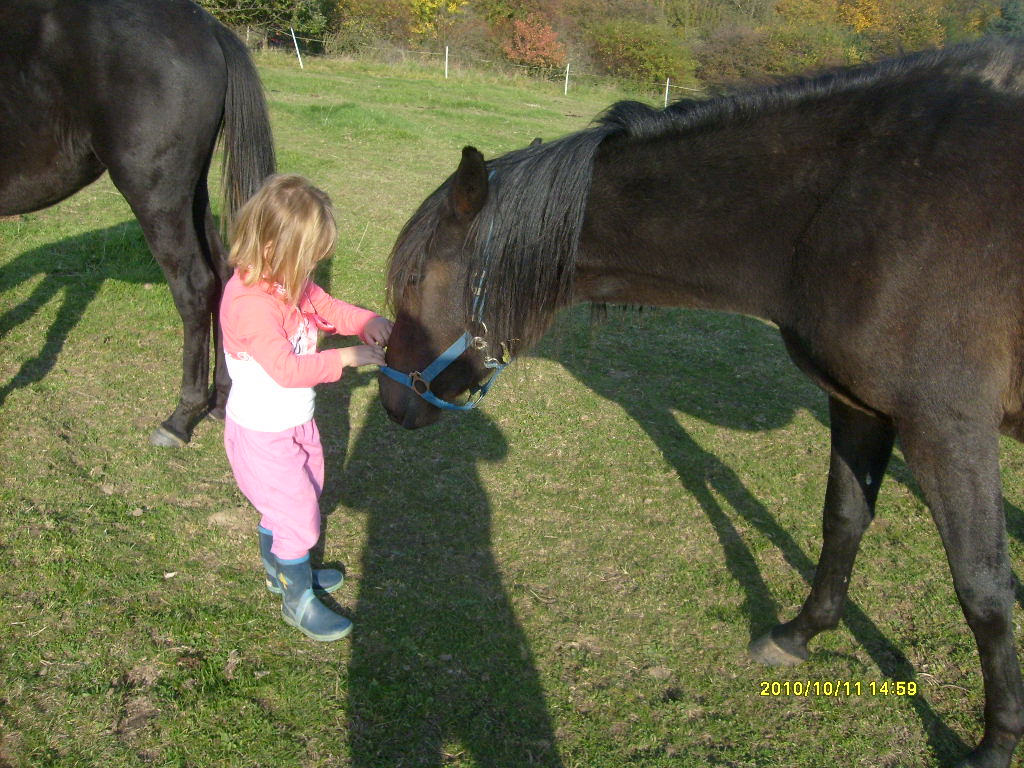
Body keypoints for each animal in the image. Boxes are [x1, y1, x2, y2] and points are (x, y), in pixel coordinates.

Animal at [0, 0, 276, 444]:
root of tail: (206, 26)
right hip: (189, 194)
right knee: (223, 275)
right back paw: (219, 400)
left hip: (154, 195)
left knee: (195, 288)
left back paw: (181, 417)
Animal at [380, 40, 1024, 768]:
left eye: (414, 277)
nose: (390, 399)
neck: (856, 204)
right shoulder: (858, 407)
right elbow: (843, 521)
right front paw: (799, 634)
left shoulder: (947, 428)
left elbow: (983, 587)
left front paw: (995, 744)